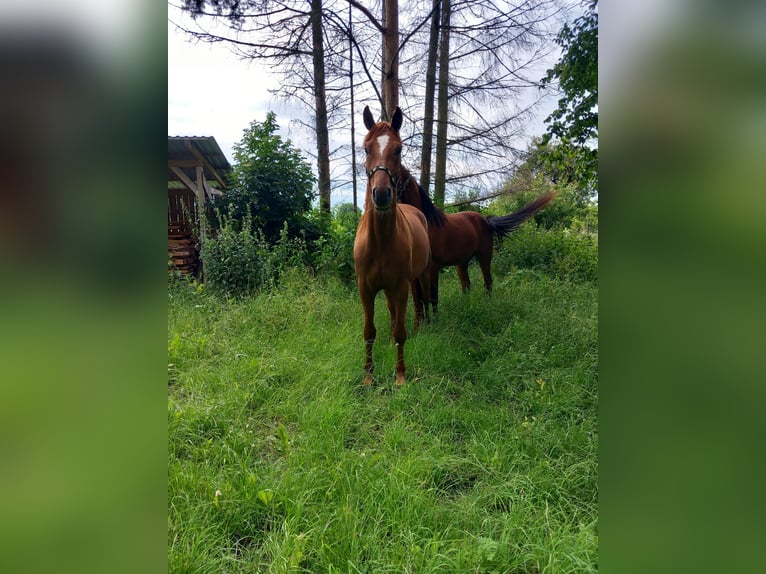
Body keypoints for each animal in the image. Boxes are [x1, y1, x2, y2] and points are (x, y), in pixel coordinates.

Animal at [354, 108, 432, 388]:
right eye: (366, 148)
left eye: (398, 149)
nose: (381, 194)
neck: (380, 241)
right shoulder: (365, 288)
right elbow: (369, 331)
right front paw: (368, 376)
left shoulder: (400, 286)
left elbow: (401, 330)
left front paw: (400, 375)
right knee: (392, 312)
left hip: (420, 276)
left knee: (422, 299)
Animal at [400, 169, 556, 316]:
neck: (427, 222)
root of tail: (486, 220)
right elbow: (420, 298)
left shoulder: (433, 266)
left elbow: (432, 296)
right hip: (462, 263)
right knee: (467, 285)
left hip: (484, 257)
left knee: (487, 282)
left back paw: (486, 305)